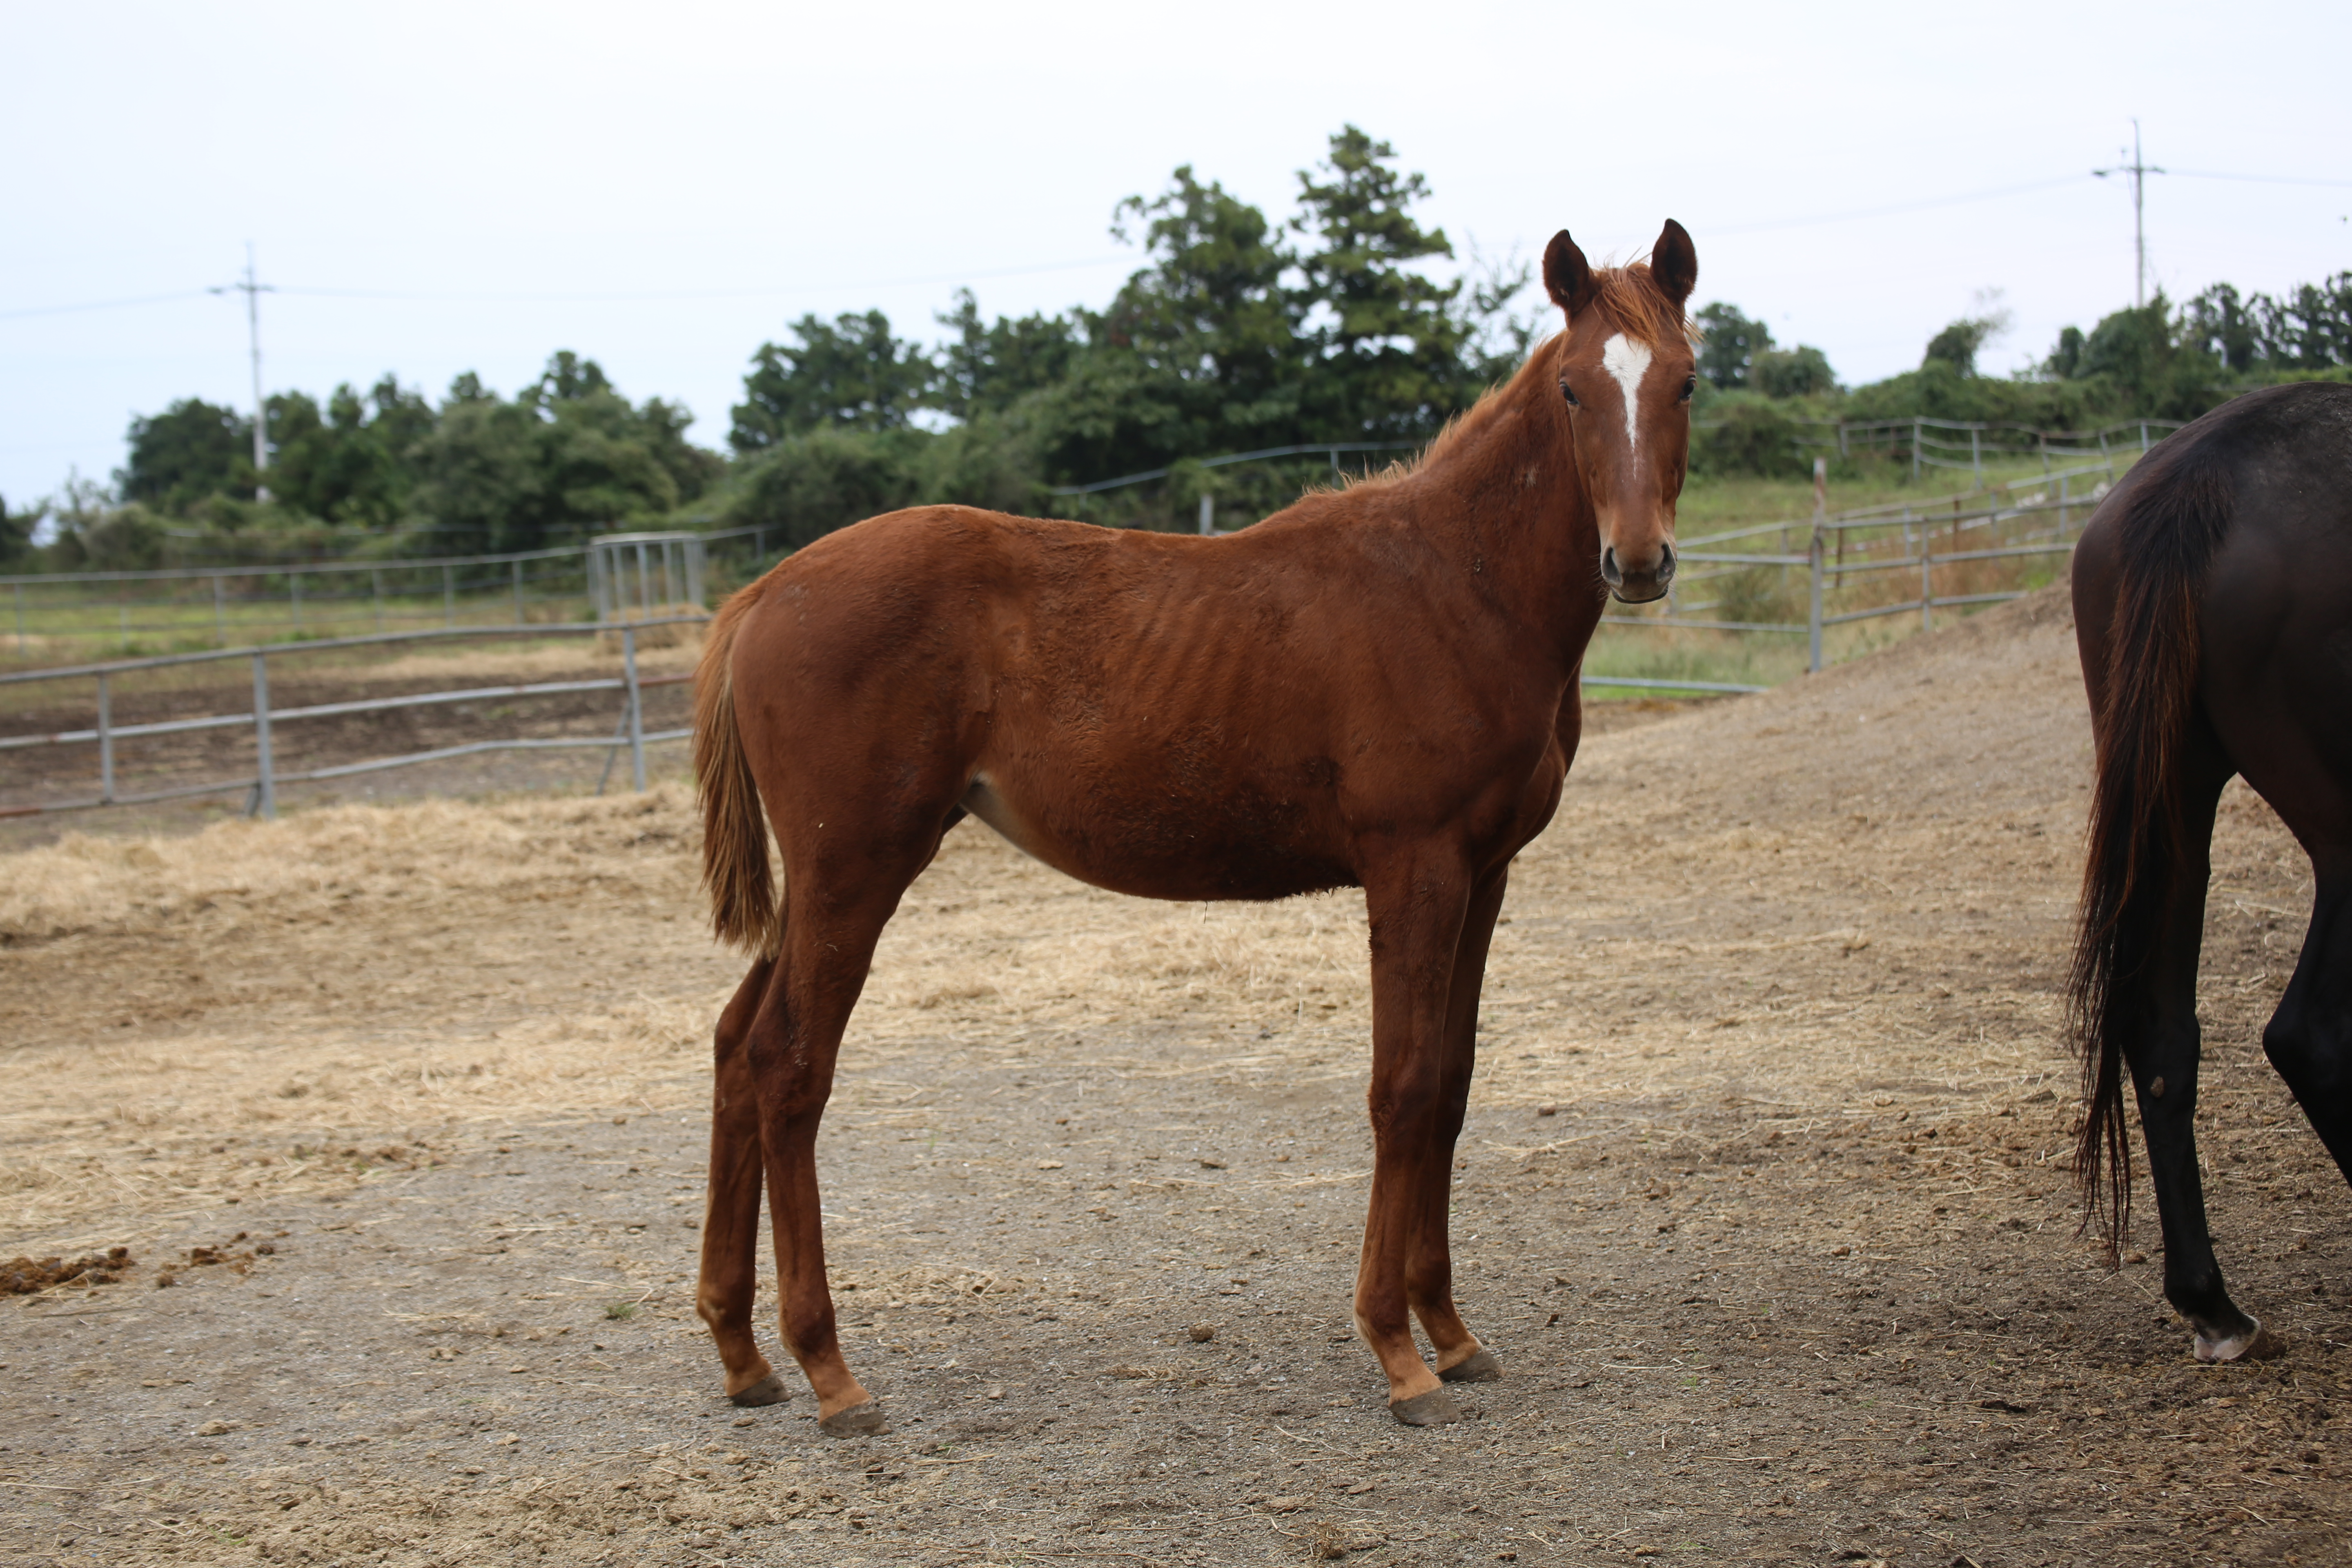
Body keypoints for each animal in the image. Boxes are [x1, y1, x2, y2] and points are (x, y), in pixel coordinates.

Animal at [686, 217, 1703, 1439]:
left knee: (736, 1045)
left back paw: (743, 1355)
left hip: (825, 881)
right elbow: (1402, 1088)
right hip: (856, 868)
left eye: (1686, 380)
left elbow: (1452, 1089)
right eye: (1570, 390)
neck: (1455, 587)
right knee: (789, 1068)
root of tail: (761, 595)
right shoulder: (1413, 867)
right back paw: (831, 1372)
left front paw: (1452, 1334)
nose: (1636, 561)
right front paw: (1396, 1352)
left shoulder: (1485, 872)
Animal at [2079, 381, 2352, 1363]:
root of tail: (2208, 477)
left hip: (2174, 798)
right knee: (2310, 1036)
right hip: (2342, 835)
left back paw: (2211, 1304)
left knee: (2160, 1031)